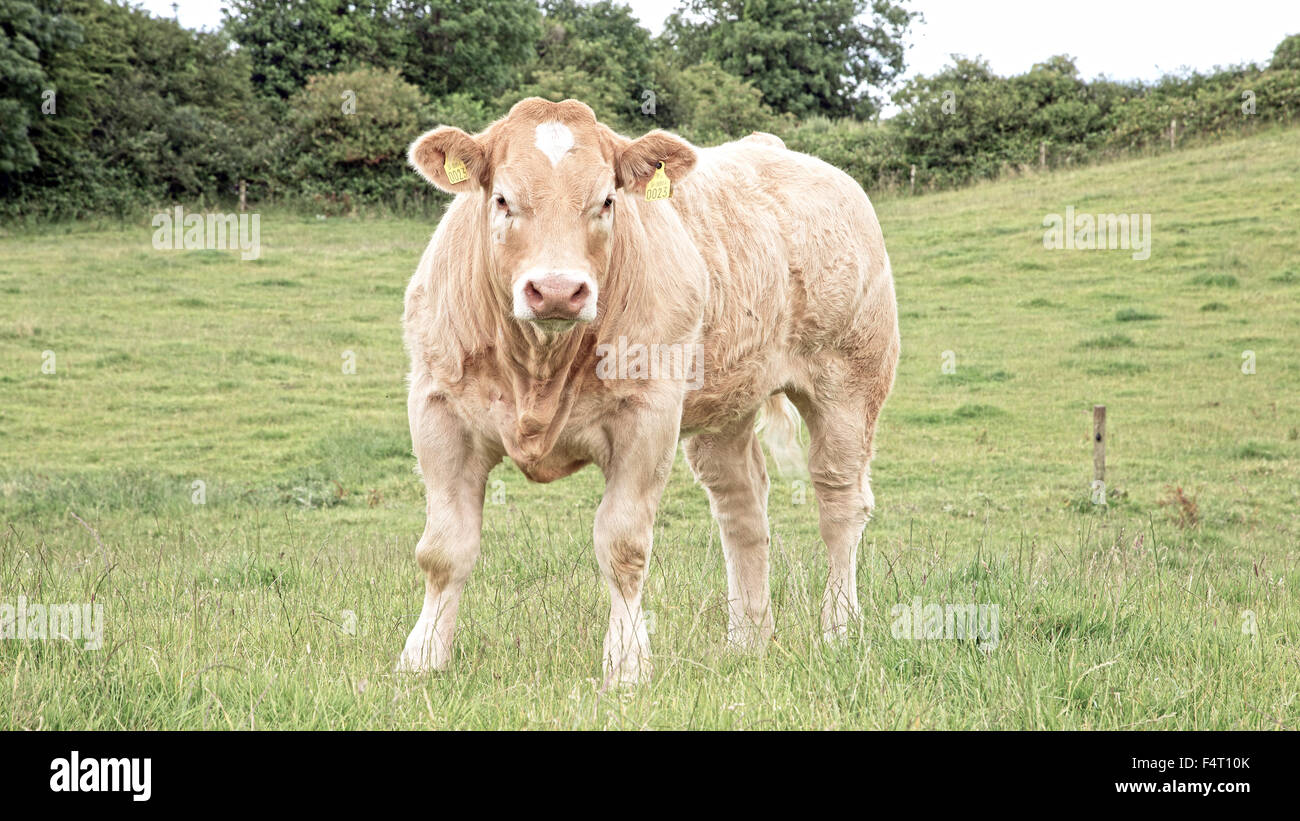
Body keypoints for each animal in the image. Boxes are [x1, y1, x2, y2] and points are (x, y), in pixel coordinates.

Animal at [395, 98, 899, 685]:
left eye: (606, 201)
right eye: (501, 199)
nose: (557, 291)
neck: (540, 369)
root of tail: (772, 149)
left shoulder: (648, 418)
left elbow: (623, 546)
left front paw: (626, 666)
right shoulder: (437, 410)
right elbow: (443, 550)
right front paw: (421, 660)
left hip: (849, 385)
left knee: (840, 505)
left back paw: (839, 628)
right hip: (725, 406)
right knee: (742, 508)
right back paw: (748, 640)